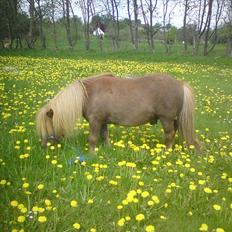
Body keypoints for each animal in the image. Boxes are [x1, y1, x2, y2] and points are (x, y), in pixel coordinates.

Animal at [36, 73, 199, 151]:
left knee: (170, 135)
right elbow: (104, 136)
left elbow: (92, 139)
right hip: (173, 119)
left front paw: (91, 154)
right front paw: (107, 149)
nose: (43, 147)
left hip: (166, 119)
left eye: (47, 126)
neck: (89, 93)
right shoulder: (102, 122)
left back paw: (166, 151)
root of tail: (180, 84)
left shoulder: (95, 121)